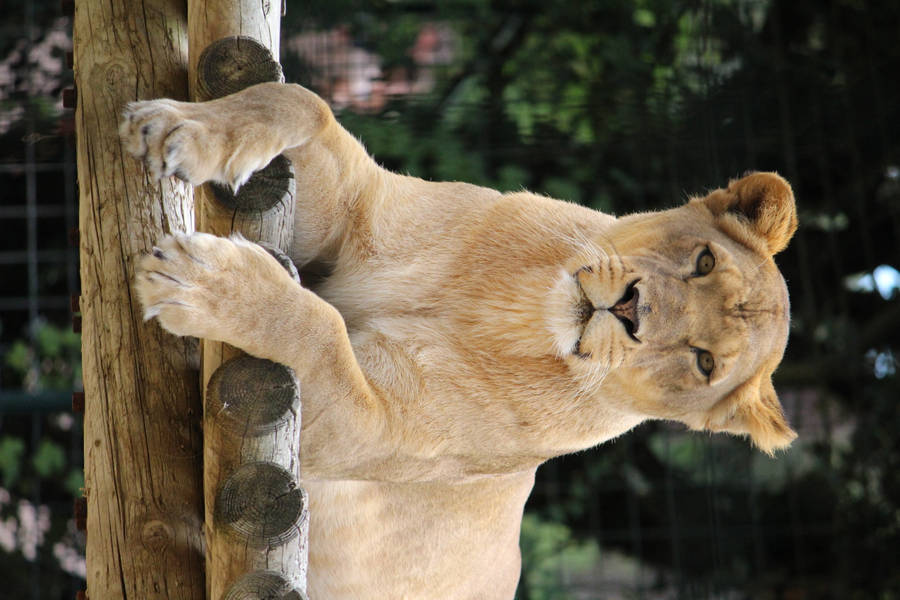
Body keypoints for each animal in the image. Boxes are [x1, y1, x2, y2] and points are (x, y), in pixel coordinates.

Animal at [121, 82, 798, 599]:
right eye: (704, 260)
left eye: (704, 363)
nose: (634, 308)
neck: (510, 308)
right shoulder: (351, 214)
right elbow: (303, 101)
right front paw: (179, 129)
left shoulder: (361, 429)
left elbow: (320, 328)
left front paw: (204, 281)